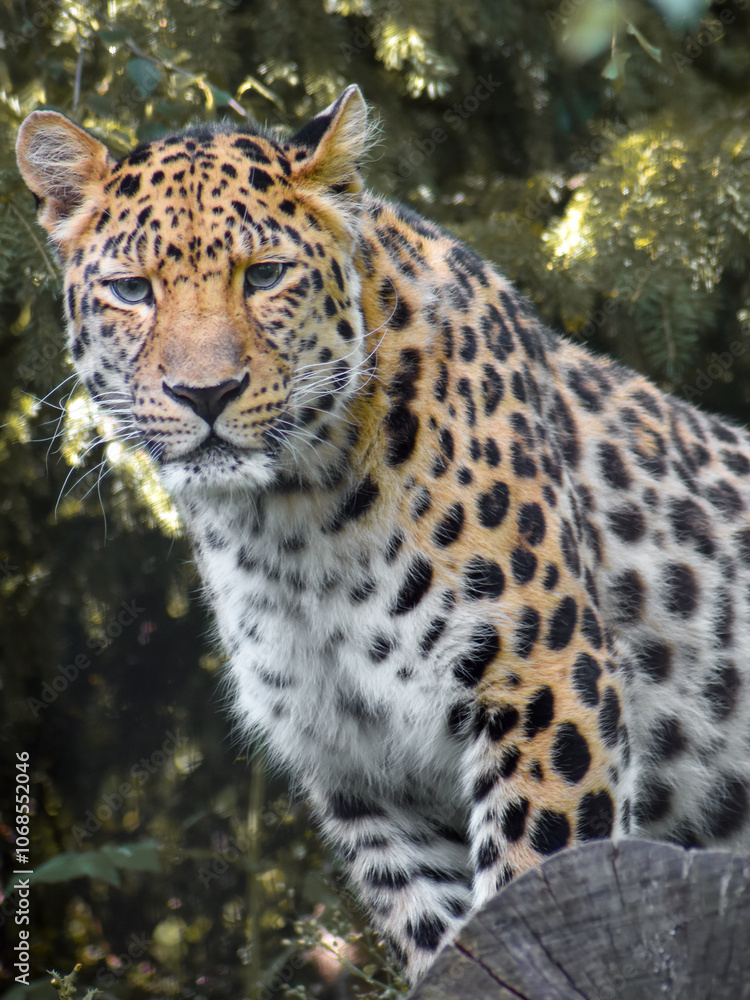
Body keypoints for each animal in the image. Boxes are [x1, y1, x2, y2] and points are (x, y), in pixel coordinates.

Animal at [16, 85, 750, 984]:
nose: (206, 393)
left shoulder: (547, 683)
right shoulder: (362, 771)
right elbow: (440, 937)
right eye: (131, 290)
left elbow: (531, 865)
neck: (288, 527)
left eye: (265, 275)